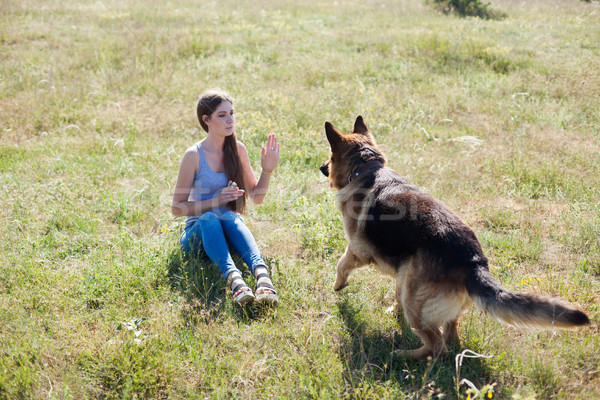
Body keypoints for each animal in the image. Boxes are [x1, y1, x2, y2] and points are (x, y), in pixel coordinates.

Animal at [322, 115, 588, 360]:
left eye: (330, 157)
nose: (321, 168)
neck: (366, 169)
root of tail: (473, 262)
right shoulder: (402, 271)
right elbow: (396, 293)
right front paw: (394, 313)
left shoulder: (356, 249)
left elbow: (341, 264)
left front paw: (338, 285)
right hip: (425, 295)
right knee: (450, 335)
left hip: (416, 304)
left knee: (438, 345)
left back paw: (404, 355)